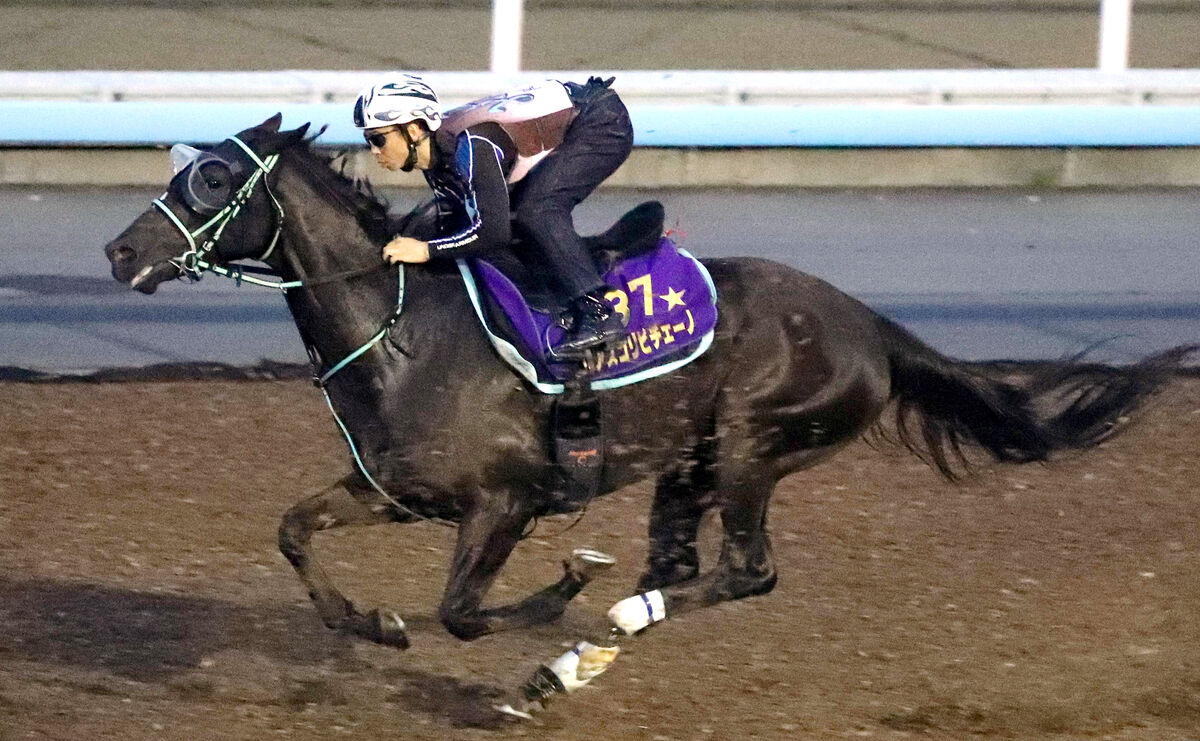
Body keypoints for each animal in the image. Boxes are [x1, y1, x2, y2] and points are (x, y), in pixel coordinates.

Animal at [103, 115, 1190, 690]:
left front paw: (558, 593)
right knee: (688, 565)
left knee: (747, 572)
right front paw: (370, 622)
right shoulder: (399, 490)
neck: (407, 331)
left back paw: (603, 629)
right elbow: (296, 530)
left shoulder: (505, 501)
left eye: (211, 179)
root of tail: (871, 327)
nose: (117, 251)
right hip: (691, 462)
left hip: (754, 442)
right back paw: (588, 650)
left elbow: (465, 611)